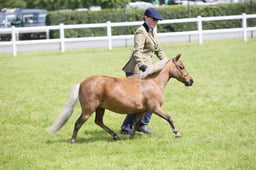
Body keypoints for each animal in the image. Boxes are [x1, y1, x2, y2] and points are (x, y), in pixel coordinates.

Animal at [47, 54, 193, 142]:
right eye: (181, 67)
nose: (191, 81)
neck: (152, 83)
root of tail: (82, 83)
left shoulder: (142, 111)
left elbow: (136, 124)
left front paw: (131, 137)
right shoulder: (155, 108)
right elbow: (169, 118)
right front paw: (177, 133)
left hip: (100, 108)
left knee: (98, 121)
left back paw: (115, 136)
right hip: (88, 110)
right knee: (78, 123)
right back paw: (73, 140)